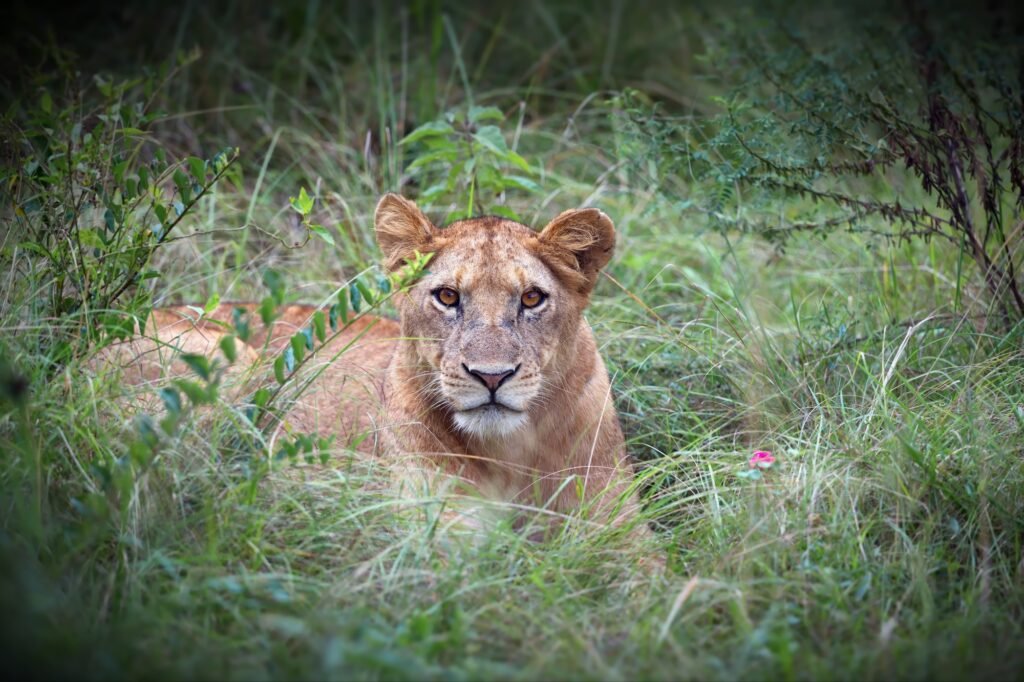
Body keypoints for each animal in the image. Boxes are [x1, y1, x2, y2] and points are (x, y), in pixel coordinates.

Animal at [103, 194, 647, 539]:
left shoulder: (626, 541)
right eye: (447, 297)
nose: (491, 376)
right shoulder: (427, 546)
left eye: (532, 298)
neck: (508, 452)